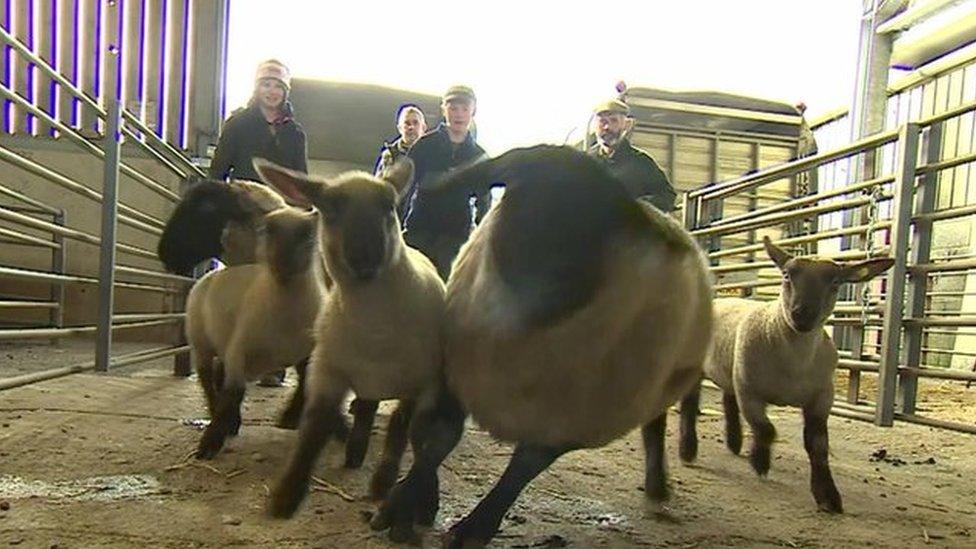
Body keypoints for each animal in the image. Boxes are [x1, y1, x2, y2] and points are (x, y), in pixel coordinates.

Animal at [181, 203, 322, 456]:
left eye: (306, 234)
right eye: (267, 230)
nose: (284, 261)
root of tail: (211, 274)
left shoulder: (308, 354)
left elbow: (305, 386)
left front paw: (290, 418)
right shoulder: (239, 350)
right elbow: (233, 393)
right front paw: (210, 442)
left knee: (218, 376)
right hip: (201, 342)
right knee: (208, 381)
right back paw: (223, 419)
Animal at [252, 157, 450, 512]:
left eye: (389, 206)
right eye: (328, 209)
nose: (365, 258)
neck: (375, 328)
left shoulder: (417, 383)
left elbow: (399, 432)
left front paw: (383, 483)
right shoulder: (327, 373)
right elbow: (313, 429)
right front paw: (287, 493)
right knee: (366, 408)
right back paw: (355, 451)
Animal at [370, 144, 712, 544]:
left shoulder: (565, 428)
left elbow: (520, 472)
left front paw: (473, 528)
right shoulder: (451, 375)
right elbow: (436, 439)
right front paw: (405, 507)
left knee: (655, 426)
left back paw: (657, 484)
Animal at [680, 235, 892, 512]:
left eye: (835, 282)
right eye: (787, 275)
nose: (802, 314)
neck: (794, 360)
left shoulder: (821, 398)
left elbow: (818, 446)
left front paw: (828, 495)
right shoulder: (750, 391)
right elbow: (766, 430)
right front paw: (760, 461)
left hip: (730, 368)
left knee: (728, 399)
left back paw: (734, 442)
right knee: (690, 404)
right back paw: (688, 449)